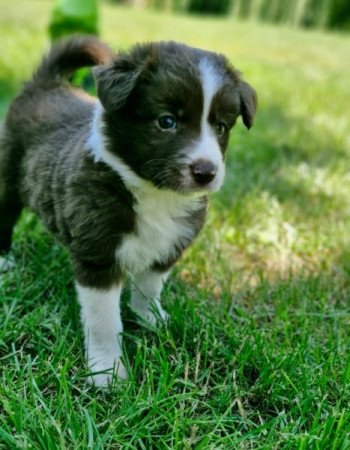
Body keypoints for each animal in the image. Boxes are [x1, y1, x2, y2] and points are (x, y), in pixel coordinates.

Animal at [0, 36, 258, 386]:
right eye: (166, 121)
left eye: (220, 127)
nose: (206, 172)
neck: (156, 195)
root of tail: (46, 82)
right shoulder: (98, 256)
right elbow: (104, 321)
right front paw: (107, 372)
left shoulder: (169, 245)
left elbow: (149, 288)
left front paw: (151, 320)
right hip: (8, 176)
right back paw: (3, 261)